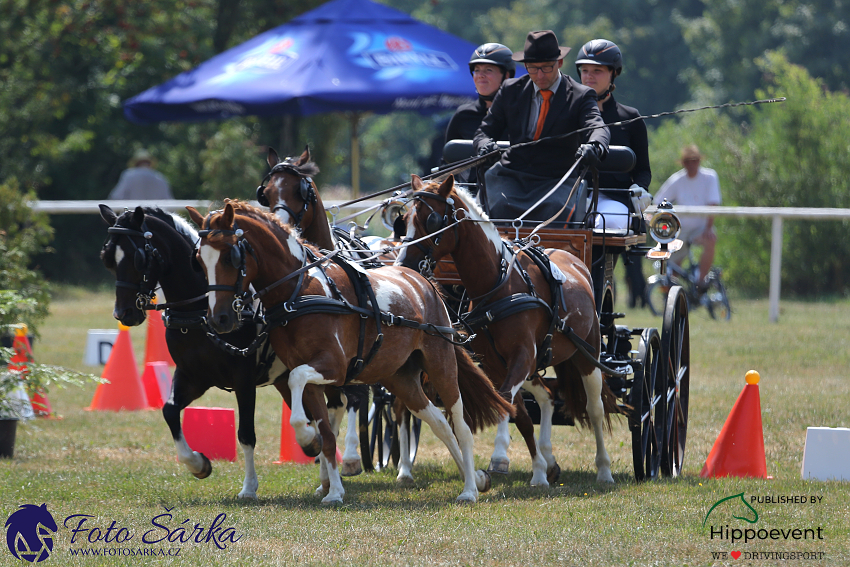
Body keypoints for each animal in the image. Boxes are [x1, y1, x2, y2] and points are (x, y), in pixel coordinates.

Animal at [97, 206, 292, 500]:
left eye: (138, 258)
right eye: (107, 257)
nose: (124, 314)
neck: (199, 312)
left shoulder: (244, 379)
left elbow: (246, 434)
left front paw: (249, 487)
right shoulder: (193, 376)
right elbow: (169, 411)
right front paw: (198, 464)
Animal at [186, 202, 512, 504]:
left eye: (231, 256)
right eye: (199, 259)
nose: (219, 319)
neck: (299, 291)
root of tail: (424, 281)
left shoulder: (333, 368)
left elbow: (296, 381)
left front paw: (308, 441)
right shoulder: (314, 381)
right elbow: (328, 435)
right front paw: (332, 489)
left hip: (441, 364)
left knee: (460, 426)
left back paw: (469, 489)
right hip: (401, 378)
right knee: (440, 424)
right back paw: (473, 478)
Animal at [398, 176, 616, 488]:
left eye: (433, 219)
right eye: (404, 220)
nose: (403, 265)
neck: (499, 283)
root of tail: (574, 260)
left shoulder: (522, 356)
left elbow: (505, 402)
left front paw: (501, 456)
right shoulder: (495, 363)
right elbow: (517, 411)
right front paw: (538, 470)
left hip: (588, 353)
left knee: (595, 408)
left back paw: (604, 470)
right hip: (534, 363)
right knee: (547, 396)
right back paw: (548, 460)